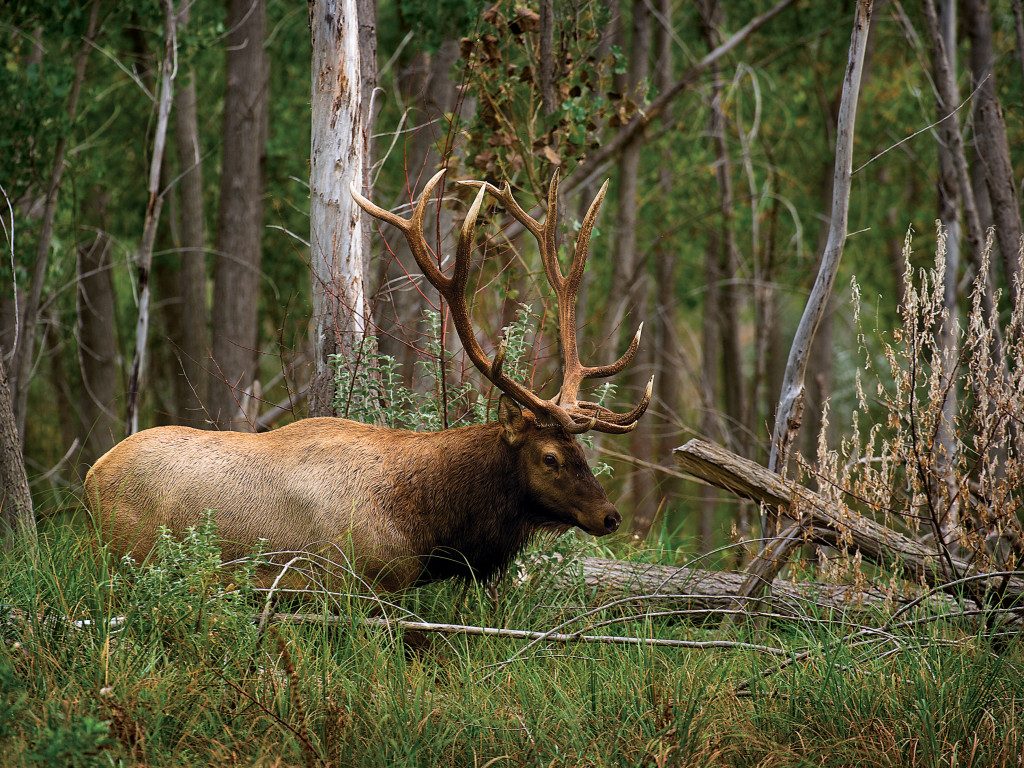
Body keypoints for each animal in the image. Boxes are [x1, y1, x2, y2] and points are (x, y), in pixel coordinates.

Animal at [83, 171, 651, 593]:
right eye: (550, 458)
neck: (427, 522)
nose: (610, 516)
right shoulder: (356, 583)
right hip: (129, 556)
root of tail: (90, 477)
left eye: (581, 451)